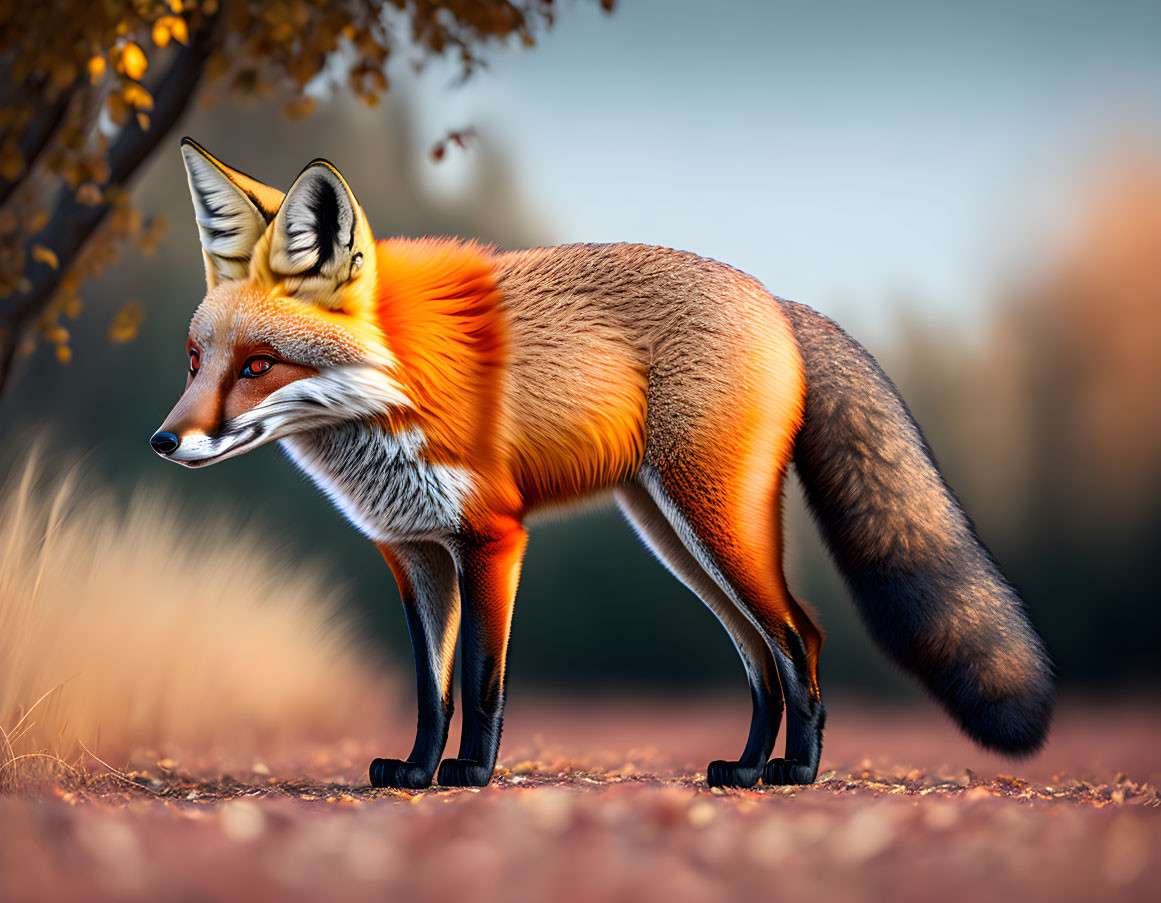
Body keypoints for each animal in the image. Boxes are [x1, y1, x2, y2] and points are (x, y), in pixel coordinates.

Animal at [149, 138, 1058, 789]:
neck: (394, 387)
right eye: (194, 361)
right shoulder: (410, 551)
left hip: (711, 522)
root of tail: (775, 298)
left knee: (799, 635)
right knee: (758, 654)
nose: (164, 443)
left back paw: (795, 771)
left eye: (259, 365)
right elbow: (429, 684)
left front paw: (469, 773)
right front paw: (413, 769)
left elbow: (480, 677)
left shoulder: (492, 535)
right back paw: (747, 766)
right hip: (672, 535)